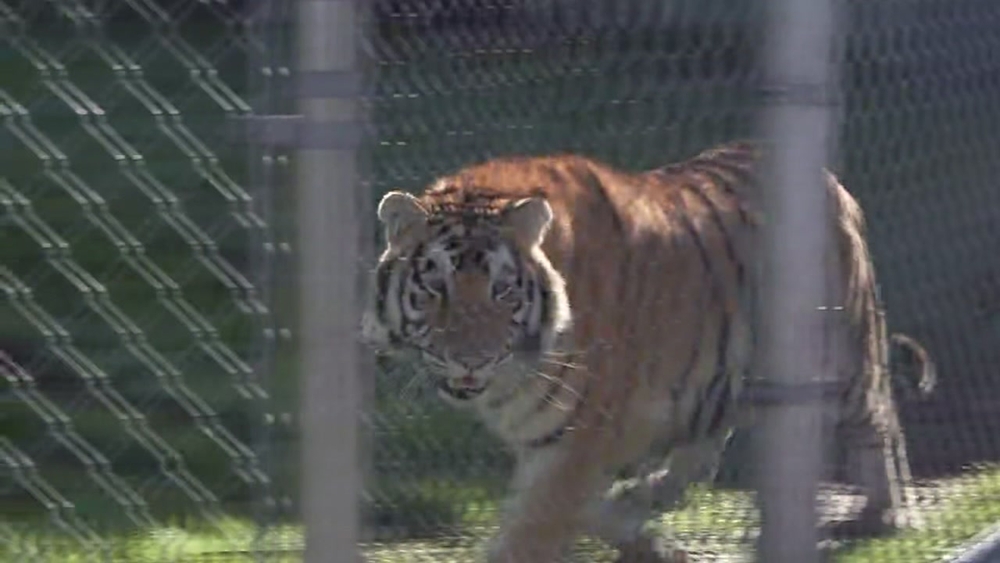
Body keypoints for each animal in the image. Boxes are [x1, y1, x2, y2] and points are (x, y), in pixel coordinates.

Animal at [360, 140, 937, 563]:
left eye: (503, 291)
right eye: (435, 287)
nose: (471, 360)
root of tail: (831, 180)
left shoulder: (583, 434)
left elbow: (532, 529)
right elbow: (574, 506)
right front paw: (645, 534)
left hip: (844, 350)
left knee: (879, 420)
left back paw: (888, 514)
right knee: (703, 454)